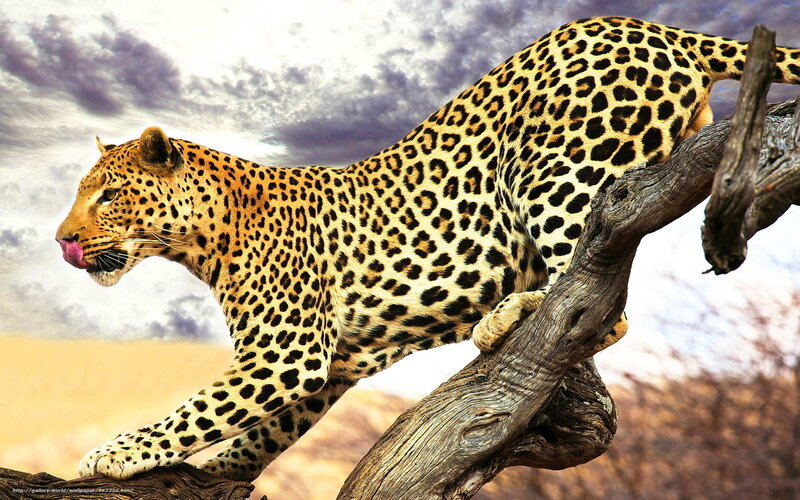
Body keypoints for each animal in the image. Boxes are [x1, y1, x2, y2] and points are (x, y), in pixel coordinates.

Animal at [55, 16, 800, 481]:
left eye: (107, 194)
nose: (62, 240)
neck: (204, 236)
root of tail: (652, 27)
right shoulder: (331, 363)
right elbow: (258, 430)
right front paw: (216, 469)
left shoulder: (285, 353)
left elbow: (195, 411)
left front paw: (111, 455)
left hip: (556, 169)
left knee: (599, 298)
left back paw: (508, 316)